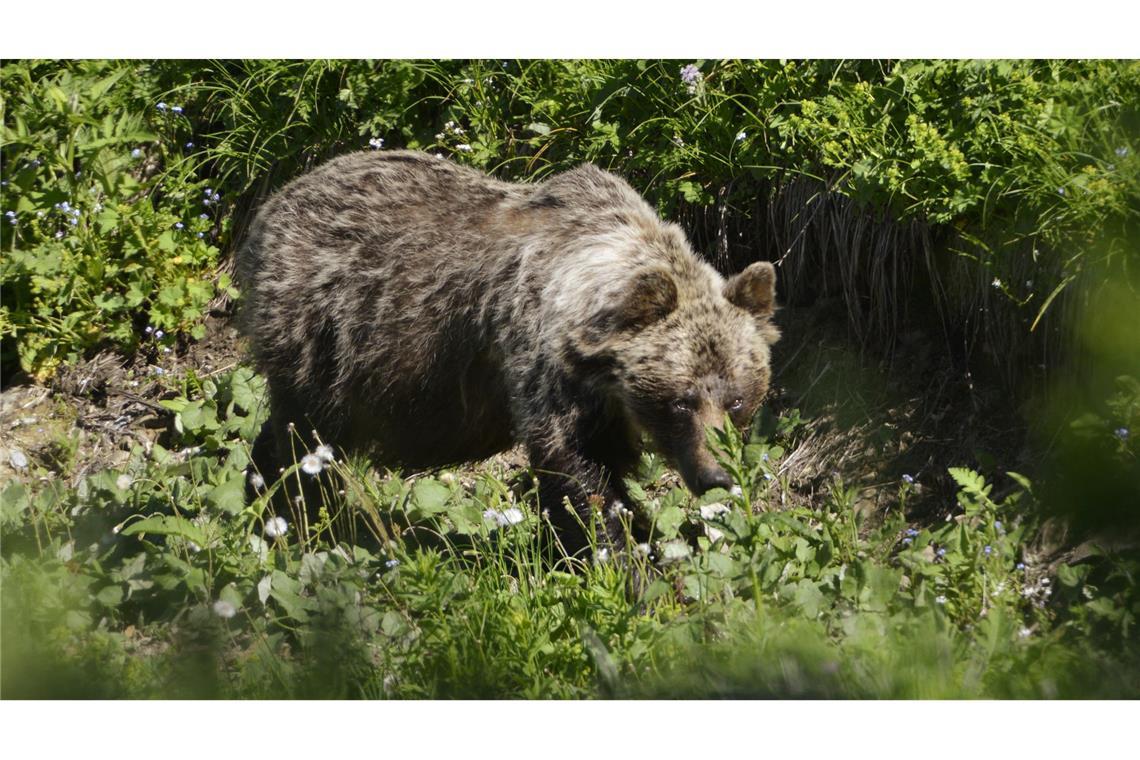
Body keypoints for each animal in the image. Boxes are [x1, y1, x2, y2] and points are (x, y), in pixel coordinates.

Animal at [235, 150, 779, 553]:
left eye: (737, 399)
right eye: (681, 401)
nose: (716, 474)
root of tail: (272, 204)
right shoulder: (543, 363)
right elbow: (578, 471)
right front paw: (622, 557)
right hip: (325, 335)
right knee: (303, 437)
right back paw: (289, 515)